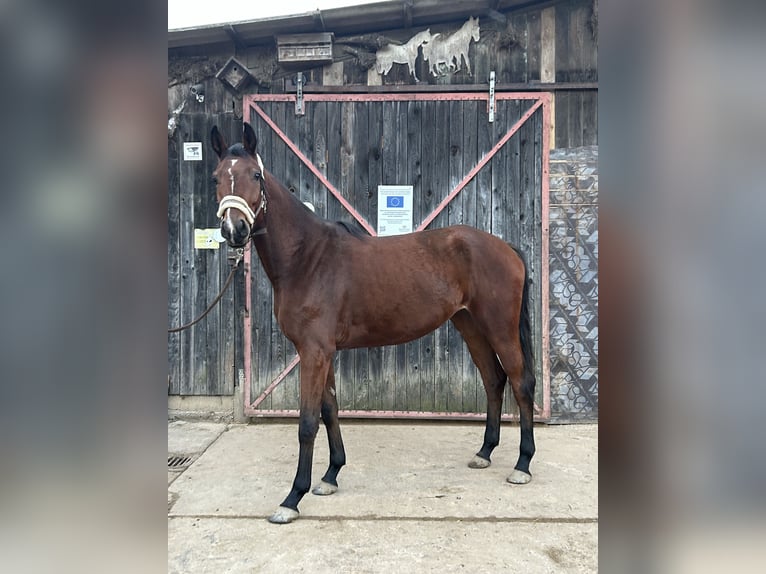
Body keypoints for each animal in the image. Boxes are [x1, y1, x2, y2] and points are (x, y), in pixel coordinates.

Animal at [207, 124, 536, 524]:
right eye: (217, 178)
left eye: (255, 175)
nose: (234, 230)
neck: (308, 259)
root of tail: (506, 248)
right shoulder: (321, 353)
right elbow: (330, 410)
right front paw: (330, 475)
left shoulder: (314, 353)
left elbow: (307, 423)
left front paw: (292, 498)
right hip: (470, 325)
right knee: (494, 380)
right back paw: (485, 452)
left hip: (500, 328)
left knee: (520, 383)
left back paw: (522, 465)